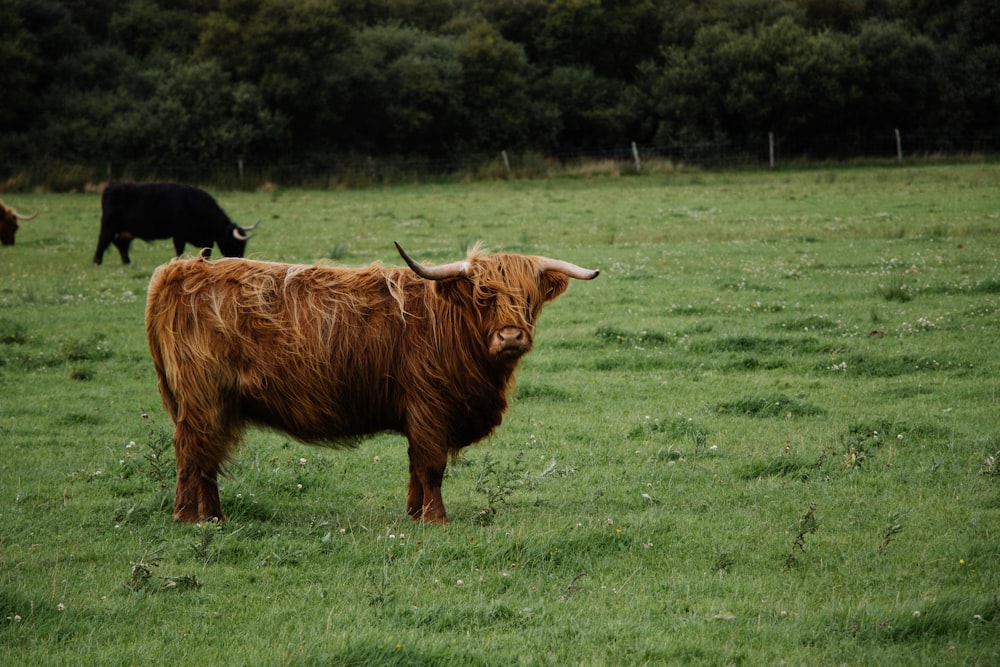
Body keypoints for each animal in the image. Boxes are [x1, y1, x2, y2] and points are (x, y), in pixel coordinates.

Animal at [94, 184, 256, 268]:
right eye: (235, 243)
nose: (241, 260)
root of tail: (111, 186)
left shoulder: (206, 239)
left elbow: (206, 253)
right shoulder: (179, 234)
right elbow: (180, 251)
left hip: (125, 231)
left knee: (121, 245)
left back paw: (127, 262)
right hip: (108, 225)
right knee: (103, 241)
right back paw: (97, 262)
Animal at [146, 243, 600, 524]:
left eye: (529, 300)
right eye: (483, 297)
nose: (510, 336)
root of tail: (181, 270)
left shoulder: (419, 415)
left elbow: (415, 466)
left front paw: (414, 515)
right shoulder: (430, 406)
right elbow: (431, 467)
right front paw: (437, 519)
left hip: (218, 405)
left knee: (208, 458)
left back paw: (214, 518)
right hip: (202, 398)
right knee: (191, 454)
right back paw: (187, 517)